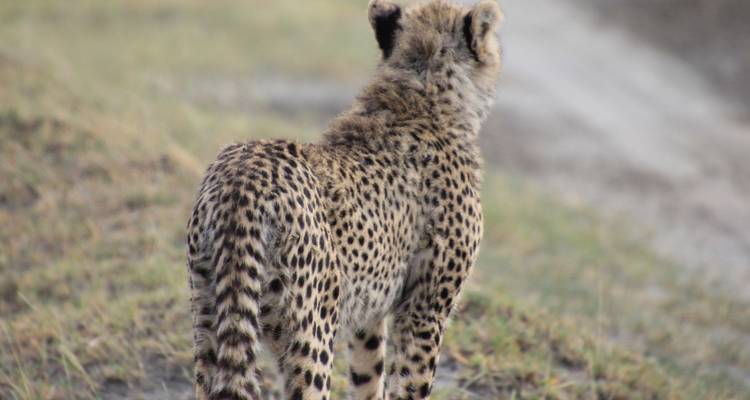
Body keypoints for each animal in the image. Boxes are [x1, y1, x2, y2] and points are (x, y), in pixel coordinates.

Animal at [186, 0, 504, 399]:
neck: (423, 94)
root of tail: (244, 170)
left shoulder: (371, 315)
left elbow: (369, 379)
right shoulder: (425, 311)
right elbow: (409, 385)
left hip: (209, 313)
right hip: (312, 329)